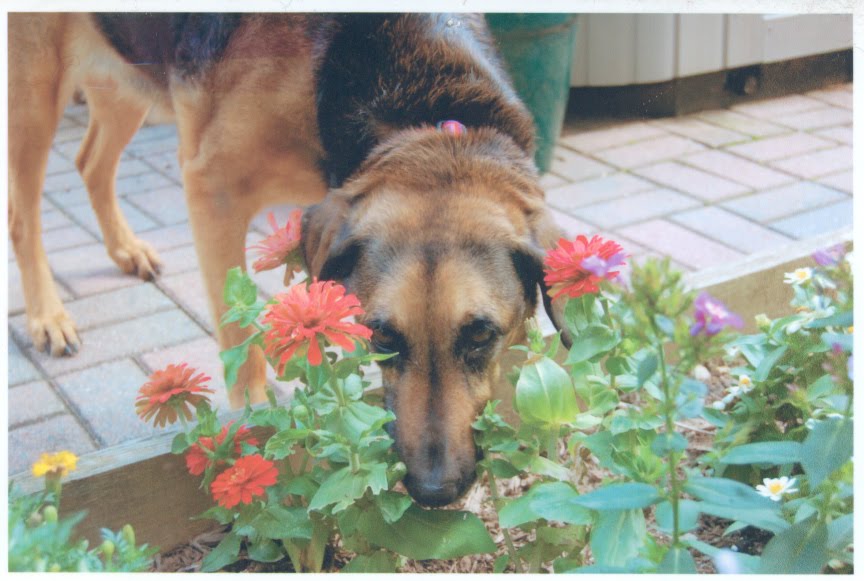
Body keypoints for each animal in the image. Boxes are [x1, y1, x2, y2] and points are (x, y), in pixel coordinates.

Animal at [9, 13, 567, 506]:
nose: (433, 492)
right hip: (34, 95)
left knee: (90, 162)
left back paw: (126, 249)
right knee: (23, 214)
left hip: (123, 80)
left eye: (481, 336)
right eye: (382, 337)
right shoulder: (212, 189)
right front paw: (251, 437)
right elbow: (240, 347)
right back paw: (48, 317)